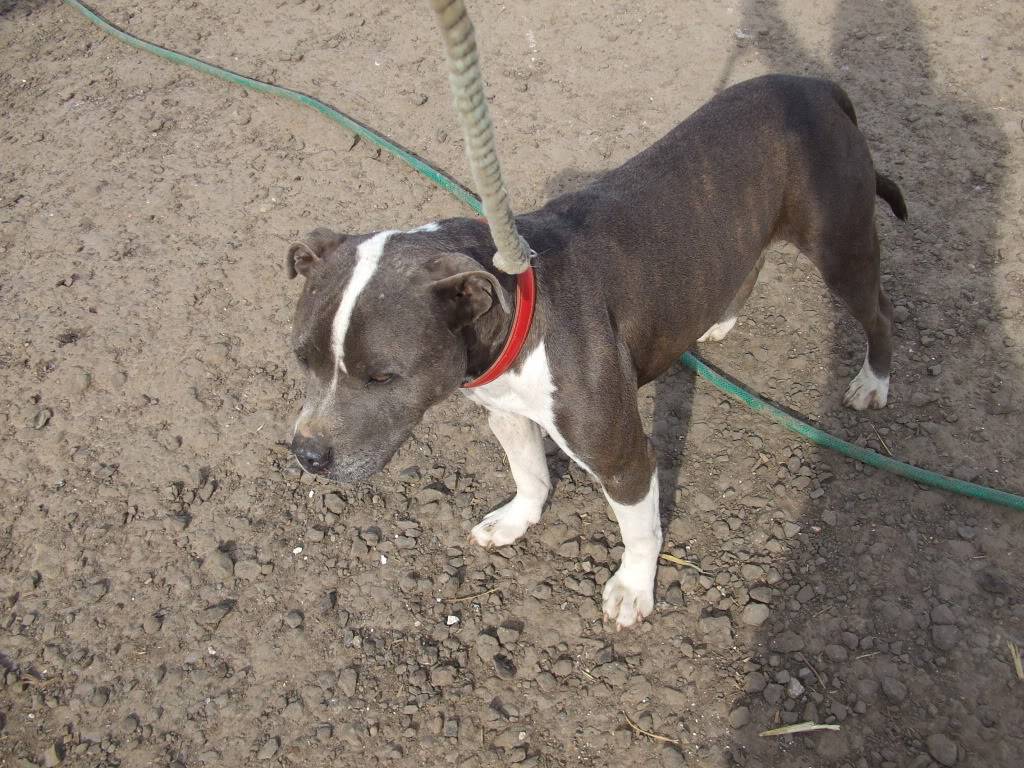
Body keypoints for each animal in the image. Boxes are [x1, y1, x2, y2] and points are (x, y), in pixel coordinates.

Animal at [284, 76, 909, 630]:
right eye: (302, 358)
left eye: (382, 377)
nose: (307, 455)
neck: (519, 313)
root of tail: (817, 86)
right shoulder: (505, 411)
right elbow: (529, 472)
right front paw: (516, 520)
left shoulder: (622, 458)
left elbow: (641, 530)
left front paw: (633, 589)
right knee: (747, 266)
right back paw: (720, 323)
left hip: (841, 248)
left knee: (879, 311)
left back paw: (874, 382)